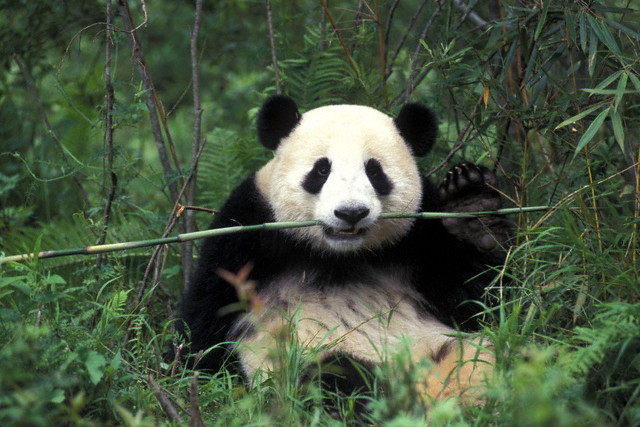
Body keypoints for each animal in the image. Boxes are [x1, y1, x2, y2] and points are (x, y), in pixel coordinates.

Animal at [178, 95, 512, 405]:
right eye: (321, 170)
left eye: (375, 172)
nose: (351, 212)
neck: (339, 255)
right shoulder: (246, 233)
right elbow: (205, 326)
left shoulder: (420, 239)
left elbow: (479, 298)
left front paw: (471, 206)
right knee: (333, 376)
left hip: (462, 349)